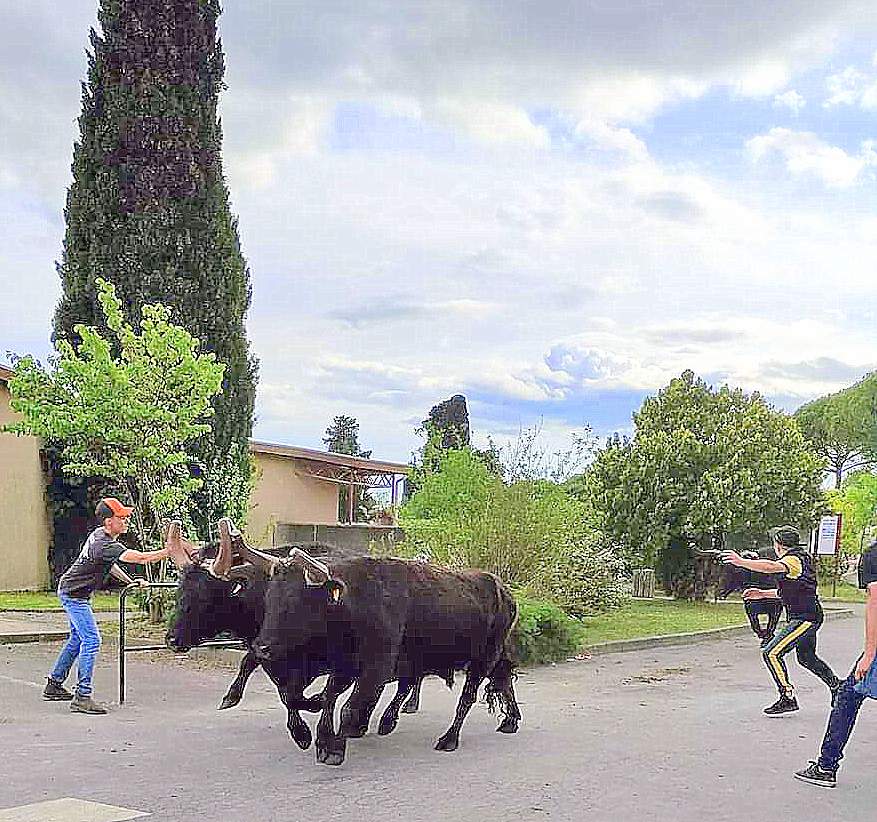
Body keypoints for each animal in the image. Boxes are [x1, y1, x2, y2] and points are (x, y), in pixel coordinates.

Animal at [253, 552, 520, 768]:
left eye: (296, 601)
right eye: (269, 598)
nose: (261, 647)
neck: (354, 603)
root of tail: (502, 589)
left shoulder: (376, 667)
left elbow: (349, 708)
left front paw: (335, 748)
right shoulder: (345, 666)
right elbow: (326, 699)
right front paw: (317, 738)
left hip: (484, 658)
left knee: (467, 697)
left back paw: (449, 738)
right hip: (488, 656)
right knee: (503, 676)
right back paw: (510, 721)